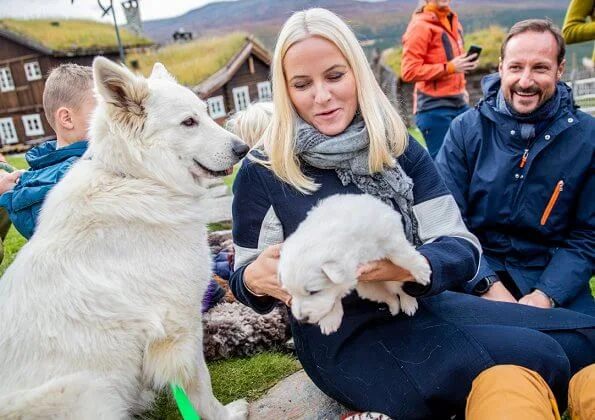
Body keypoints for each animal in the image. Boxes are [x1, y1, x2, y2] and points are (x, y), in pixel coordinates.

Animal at [0, 56, 249, 420]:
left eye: (205, 112)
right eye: (188, 122)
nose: (244, 148)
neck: (138, 176)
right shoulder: (180, 325)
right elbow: (199, 385)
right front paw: (225, 414)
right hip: (89, 390)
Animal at [280, 194, 434, 334]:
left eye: (313, 292)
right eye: (290, 293)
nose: (302, 319)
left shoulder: (389, 238)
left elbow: (403, 255)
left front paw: (422, 272)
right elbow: (333, 297)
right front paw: (330, 319)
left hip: (392, 280)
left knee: (401, 290)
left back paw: (409, 304)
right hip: (368, 289)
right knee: (389, 296)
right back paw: (394, 308)